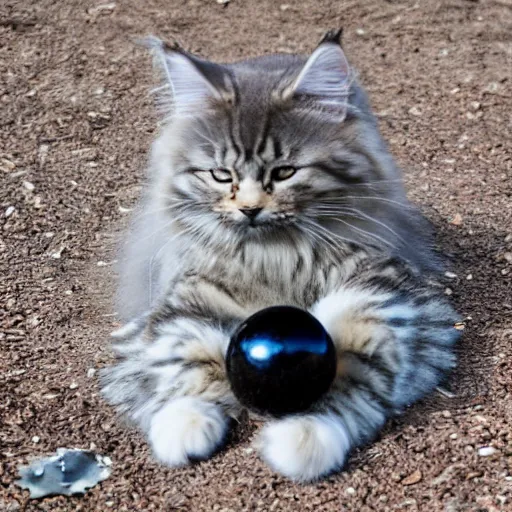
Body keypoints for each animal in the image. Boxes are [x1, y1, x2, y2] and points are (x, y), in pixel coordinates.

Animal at [102, 31, 462, 480]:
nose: (250, 209)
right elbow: (184, 360)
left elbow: (352, 365)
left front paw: (305, 437)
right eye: (221, 175)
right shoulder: (188, 296)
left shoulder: (382, 295)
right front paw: (184, 426)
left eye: (285, 172)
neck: (275, 258)